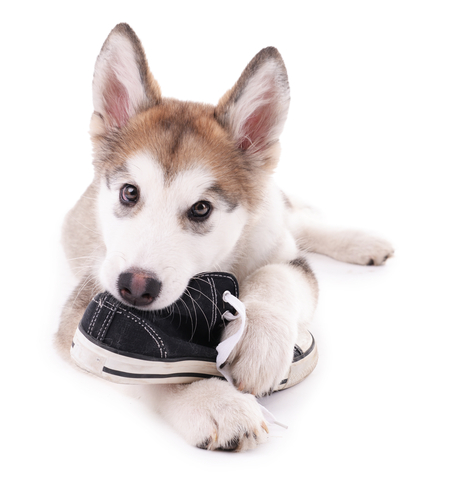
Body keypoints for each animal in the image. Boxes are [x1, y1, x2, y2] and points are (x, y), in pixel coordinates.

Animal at [56, 23, 394, 454]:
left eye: (201, 209)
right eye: (129, 193)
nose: (136, 287)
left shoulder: (285, 256)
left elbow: (276, 275)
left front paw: (257, 337)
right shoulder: (81, 312)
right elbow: (151, 373)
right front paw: (214, 402)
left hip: (272, 203)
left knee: (300, 220)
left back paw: (362, 242)